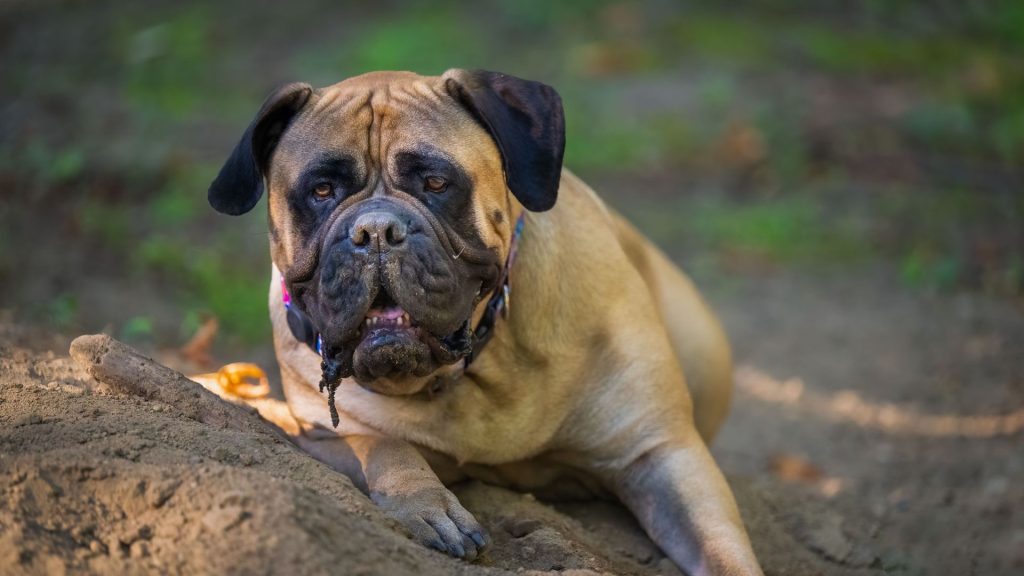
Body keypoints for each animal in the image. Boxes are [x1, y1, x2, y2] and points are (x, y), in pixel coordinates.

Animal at [205, 68, 761, 573]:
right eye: (321, 190)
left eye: (436, 183)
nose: (375, 230)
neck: (479, 365)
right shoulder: (322, 437)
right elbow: (384, 445)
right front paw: (428, 506)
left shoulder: (661, 452)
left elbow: (723, 550)